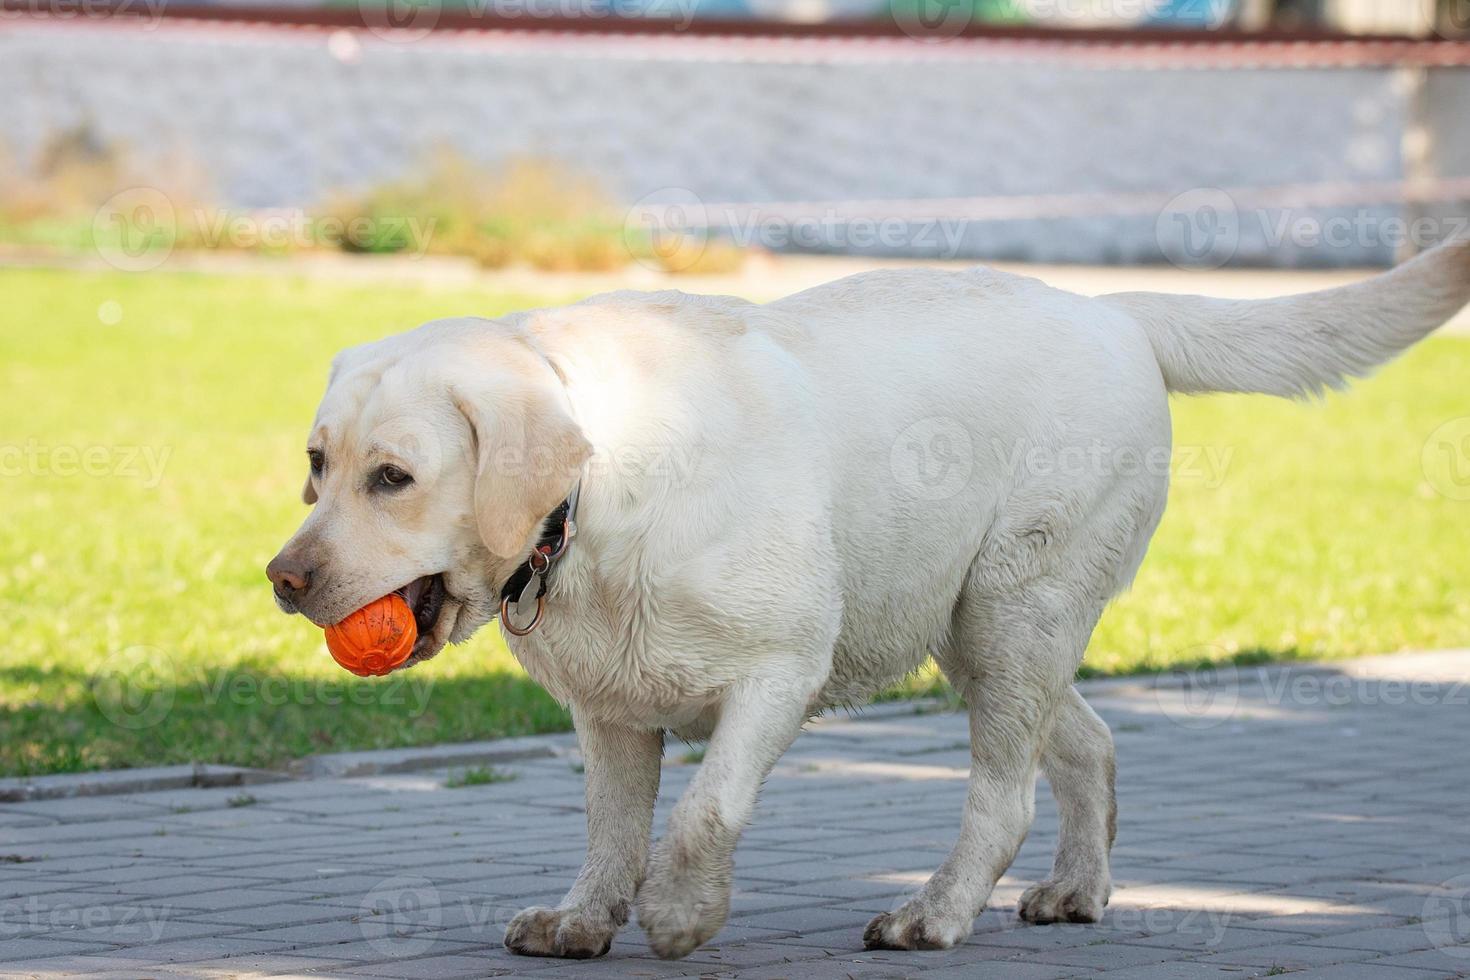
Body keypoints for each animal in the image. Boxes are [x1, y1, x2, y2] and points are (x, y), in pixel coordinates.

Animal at [267, 240, 1470, 963]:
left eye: (395, 476)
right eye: (317, 464)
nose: (284, 577)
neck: (599, 493)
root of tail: (1112, 310)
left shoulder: (779, 668)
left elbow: (703, 811)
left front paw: (681, 912)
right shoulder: (609, 708)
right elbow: (612, 827)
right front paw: (582, 916)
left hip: (1014, 605)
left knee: (1006, 793)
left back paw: (934, 912)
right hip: (980, 628)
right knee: (1089, 744)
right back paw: (1076, 888)